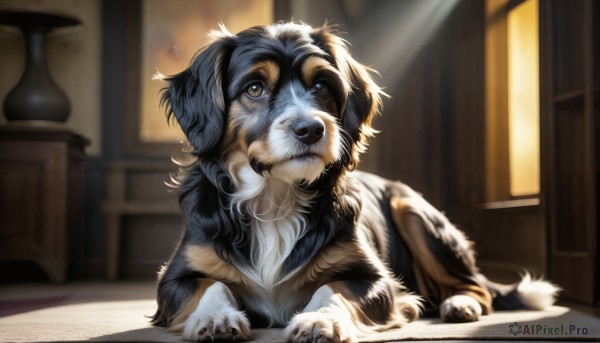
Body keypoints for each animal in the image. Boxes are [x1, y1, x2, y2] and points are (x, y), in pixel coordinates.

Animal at [150, 22, 556, 342]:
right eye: (254, 88)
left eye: (321, 86)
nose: (311, 128)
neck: (275, 196)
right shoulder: (175, 277)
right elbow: (211, 285)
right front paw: (215, 317)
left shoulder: (375, 279)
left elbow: (332, 288)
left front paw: (319, 320)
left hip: (411, 209)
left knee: (476, 286)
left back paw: (459, 303)